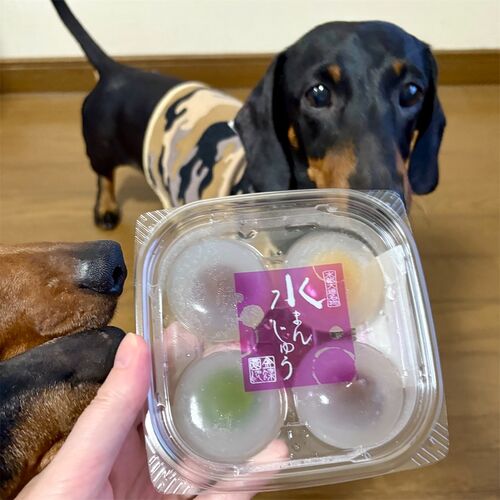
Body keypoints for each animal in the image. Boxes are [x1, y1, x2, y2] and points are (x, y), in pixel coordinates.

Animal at [52, 0, 445, 230]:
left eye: (412, 92)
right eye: (318, 93)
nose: (389, 201)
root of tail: (114, 70)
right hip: (99, 149)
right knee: (103, 176)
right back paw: (105, 209)